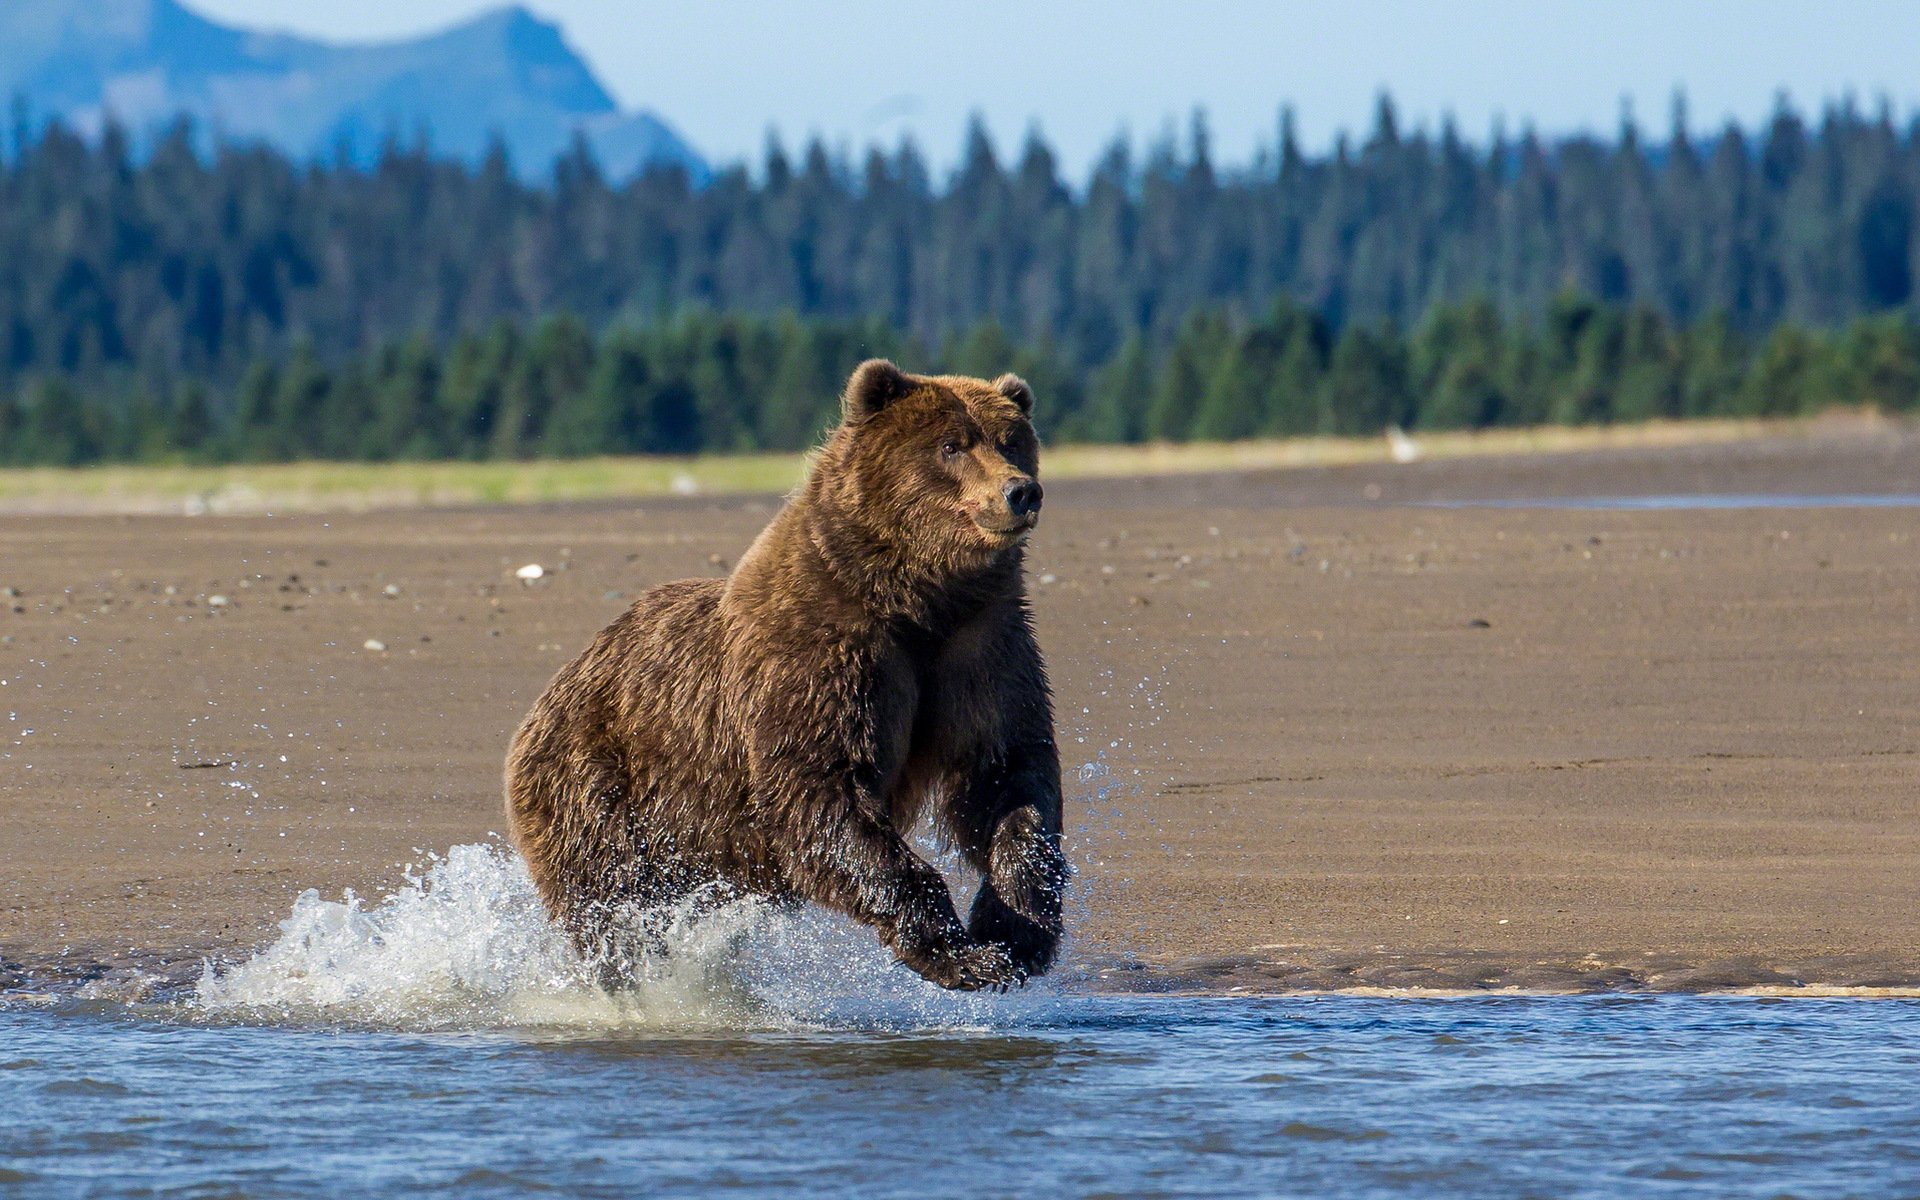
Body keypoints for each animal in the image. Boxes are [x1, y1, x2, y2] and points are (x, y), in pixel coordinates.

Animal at [504, 360, 1068, 991]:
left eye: (1012, 441)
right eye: (952, 445)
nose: (1020, 491)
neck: (916, 599)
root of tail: (548, 694)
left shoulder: (981, 648)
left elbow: (1006, 776)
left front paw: (1014, 935)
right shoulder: (821, 654)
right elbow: (819, 787)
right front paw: (961, 954)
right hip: (599, 788)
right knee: (613, 905)